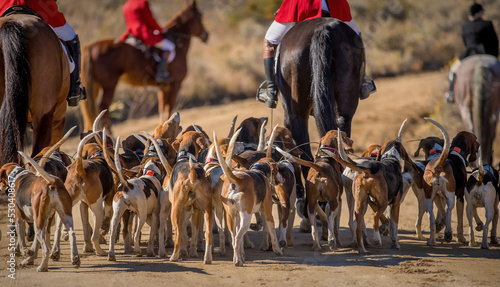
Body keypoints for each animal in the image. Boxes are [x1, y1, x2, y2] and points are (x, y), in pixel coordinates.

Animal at [80, 0, 209, 134]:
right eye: (200, 16)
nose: (206, 35)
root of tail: (90, 47)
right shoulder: (175, 84)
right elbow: (168, 109)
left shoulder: (163, 87)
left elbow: (162, 110)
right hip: (109, 85)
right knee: (103, 107)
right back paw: (110, 136)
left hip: (95, 86)